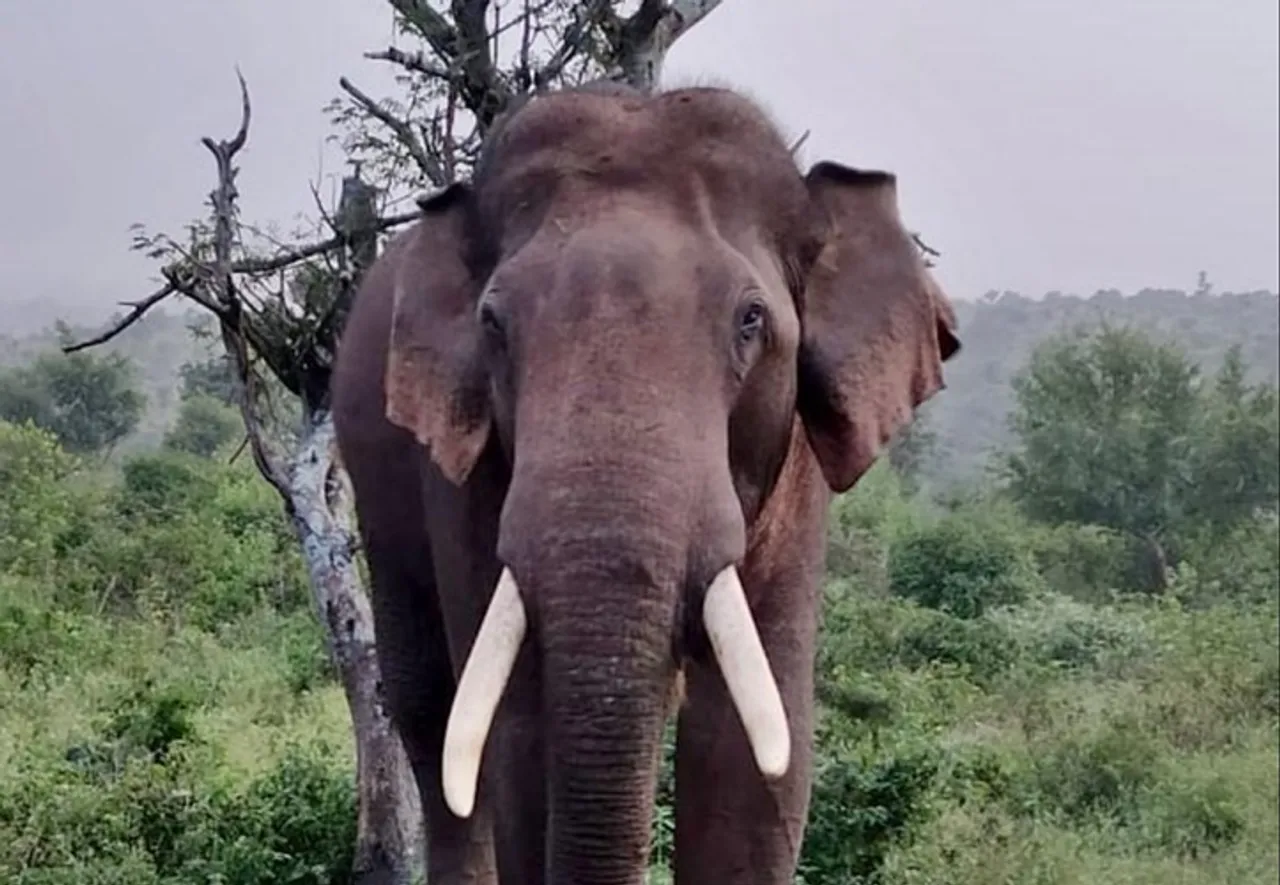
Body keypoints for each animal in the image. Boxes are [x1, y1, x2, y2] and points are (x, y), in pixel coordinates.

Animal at [332, 77, 962, 885]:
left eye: (751, 320)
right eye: (494, 324)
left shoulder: (795, 476)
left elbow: (750, 752)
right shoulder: (465, 471)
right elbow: (517, 729)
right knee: (430, 711)